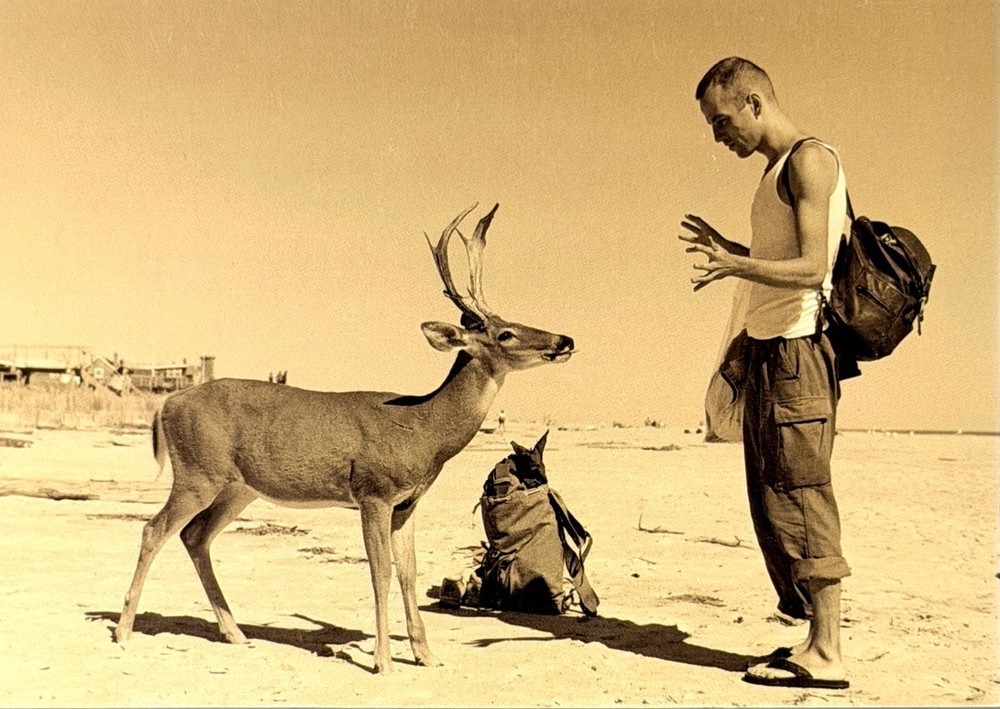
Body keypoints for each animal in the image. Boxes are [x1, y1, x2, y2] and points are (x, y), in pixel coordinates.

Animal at [112, 203, 575, 674]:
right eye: (505, 333)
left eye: (514, 321)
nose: (565, 339)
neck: (423, 429)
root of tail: (168, 402)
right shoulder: (373, 492)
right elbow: (381, 571)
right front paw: (384, 661)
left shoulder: (407, 502)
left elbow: (408, 572)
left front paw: (427, 656)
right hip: (196, 473)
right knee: (153, 529)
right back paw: (124, 629)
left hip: (238, 488)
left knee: (195, 536)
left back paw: (235, 633)